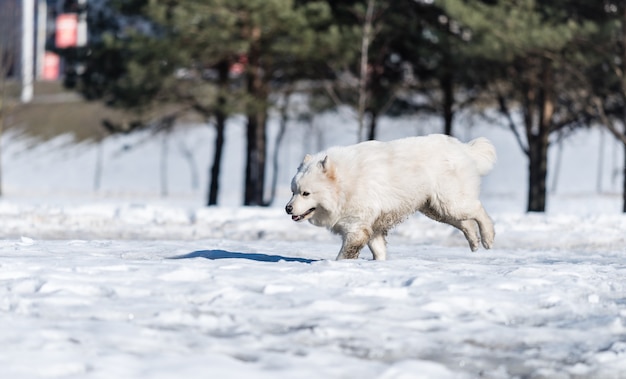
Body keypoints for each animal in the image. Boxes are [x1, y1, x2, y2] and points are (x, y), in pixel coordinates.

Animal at [286, 134, 494, 262]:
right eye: (293, 191)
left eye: (306, 193)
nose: (287, 208)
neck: (345, 184)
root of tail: (462, 147)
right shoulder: (372, 228)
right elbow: (379, 252)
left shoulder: (357, 228)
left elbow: (344, 255)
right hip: (438, 209)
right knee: (466, 223)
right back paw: (474, 242)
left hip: (451, 202)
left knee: (478, 210)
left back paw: (488, 238)